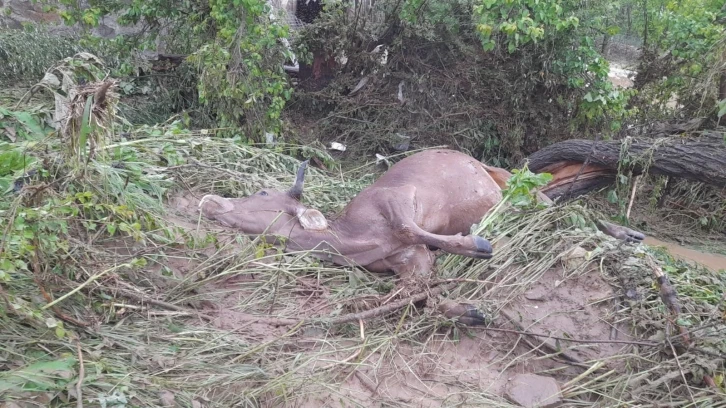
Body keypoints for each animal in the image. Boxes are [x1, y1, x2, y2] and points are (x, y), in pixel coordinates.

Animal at [198, 150, 644, 326]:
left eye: (260, 193)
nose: (209, 201)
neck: (355, 238)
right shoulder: (407, 260)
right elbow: (420, 296)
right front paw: (467, 311)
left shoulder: (399, 200)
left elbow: (412, 228)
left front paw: (477, 245)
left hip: (508, 181)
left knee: (557, 206)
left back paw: (628, 232)